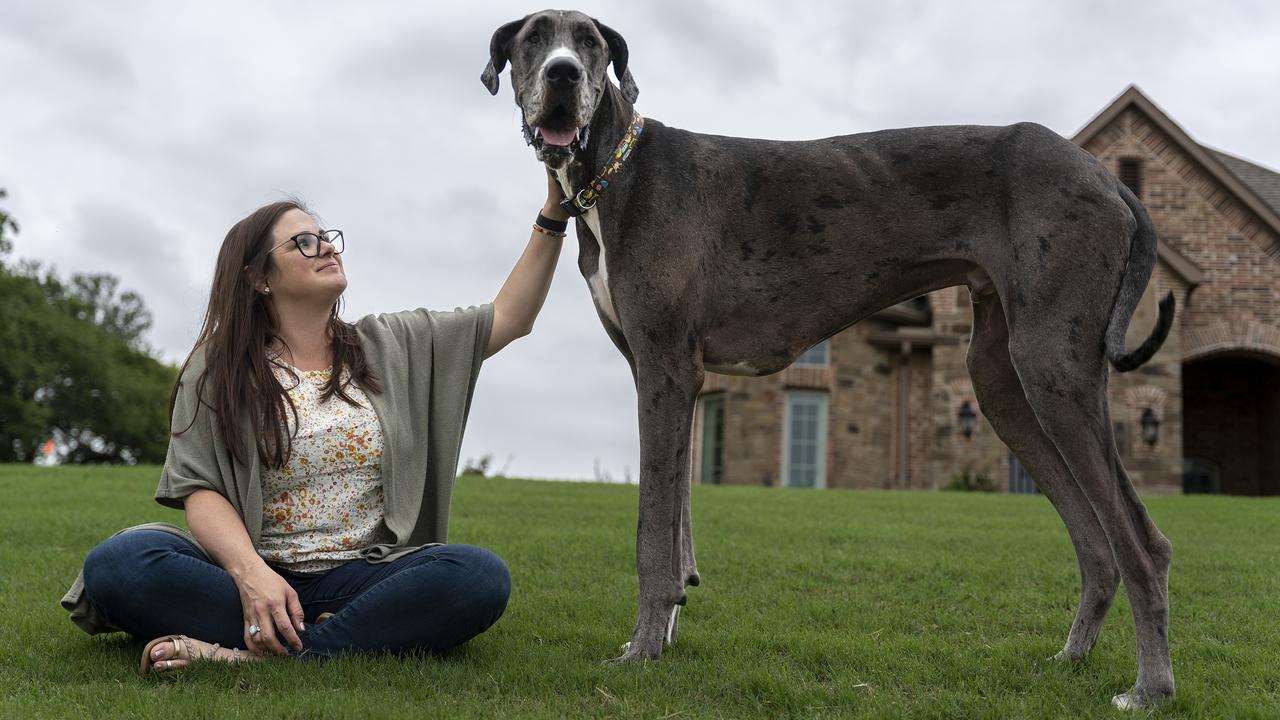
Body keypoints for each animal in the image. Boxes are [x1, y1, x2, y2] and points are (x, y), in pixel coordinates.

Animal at [481, 9, 1177, 707]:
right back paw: (1072, 658)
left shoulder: (666, 370)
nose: (563, 74)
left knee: (1143, 543)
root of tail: (1109, 179)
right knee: (1097, 543)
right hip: (1003, 384)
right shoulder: (671, 381)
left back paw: (1150, 688)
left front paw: (642, 650)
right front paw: (667, 633)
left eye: (590, 43)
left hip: (1052, 368)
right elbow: (677, 523)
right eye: (533, 40)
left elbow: (653, 531)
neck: (615, 171)